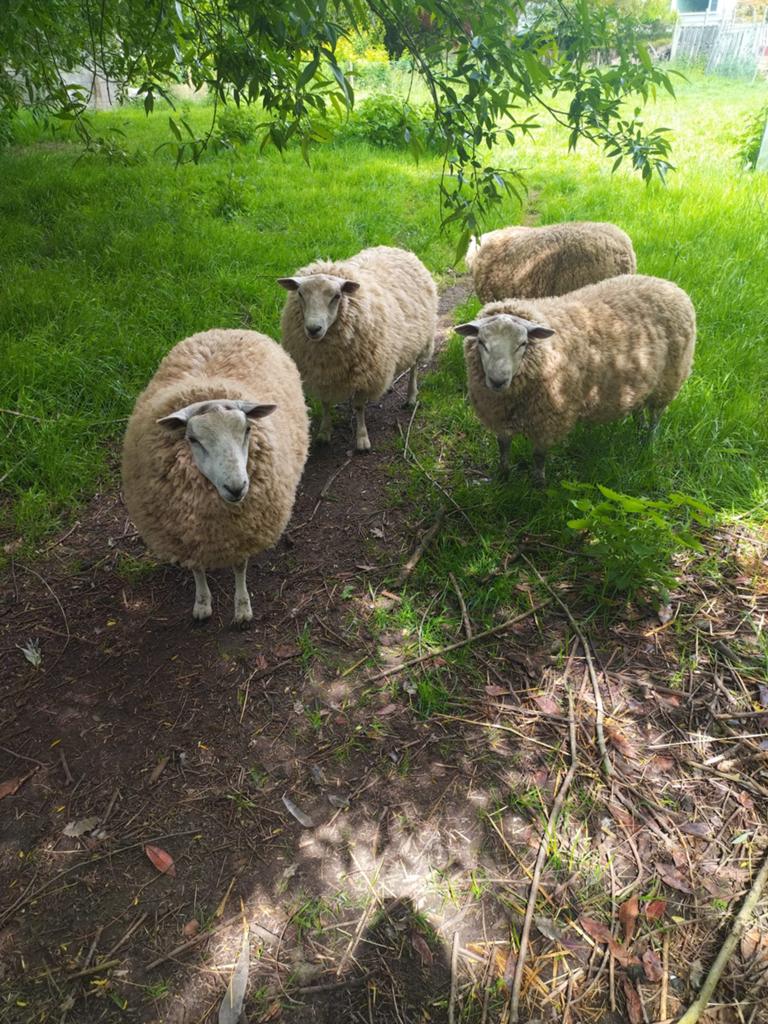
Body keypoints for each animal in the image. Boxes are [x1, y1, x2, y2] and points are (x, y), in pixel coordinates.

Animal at [122, 329, 309, 625]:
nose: (236, 487)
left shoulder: (243, 530)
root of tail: (225, 329)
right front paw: (202, 603)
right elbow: (197, 569)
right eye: (192, 439)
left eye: (247, 429)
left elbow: (240, 566)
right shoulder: (187, 535)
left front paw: (242, 608)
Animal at [278, 245, 438, 452]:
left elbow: (359, 407)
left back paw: (411, 396)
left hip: (421, 339)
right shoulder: (322, 375)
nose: (313, 329)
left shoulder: (365, 374)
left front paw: (362, 439)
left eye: (337, 296)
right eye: (300, 294)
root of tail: (396, 248)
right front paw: (324, 432)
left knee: (414, 367)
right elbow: (325, 403)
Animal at [456, 274, 696, 486]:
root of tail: (668, 284)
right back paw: (639, 432)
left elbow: (538, 457)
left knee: (656, 415)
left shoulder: (548, 419)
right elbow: (503, 449)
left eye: (522, 343)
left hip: (669, 379)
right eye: (481, 342)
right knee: (639, 410)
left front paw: (538, 486)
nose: (498, 381)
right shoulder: (499, 415)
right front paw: (503, 478)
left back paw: (648, 442)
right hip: (643, 379)